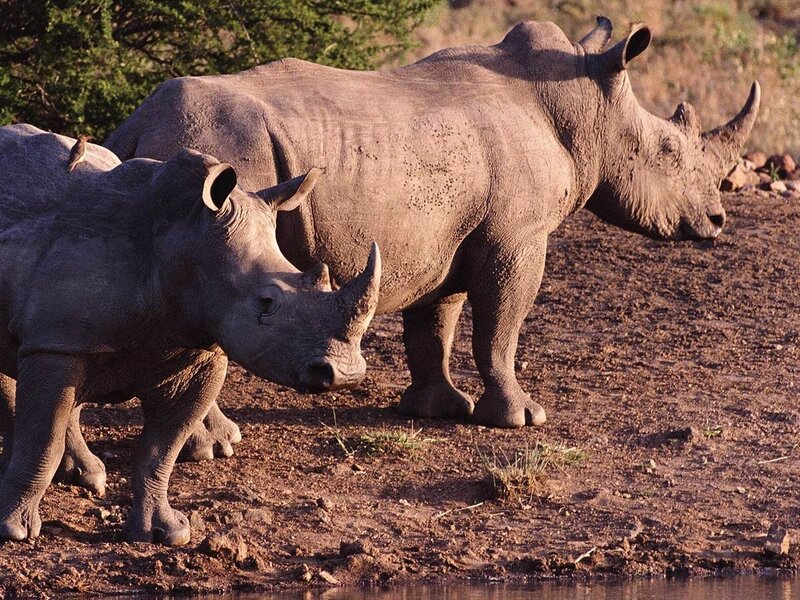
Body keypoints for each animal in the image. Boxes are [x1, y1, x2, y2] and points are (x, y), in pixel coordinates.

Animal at [0, 124, 380, 544]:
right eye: (266, 303)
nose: (346, 375)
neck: (183, 242)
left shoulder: (200, 350)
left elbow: (161, 450)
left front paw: (165, 533)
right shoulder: (57, 342)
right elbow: (42, 441)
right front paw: (13, 531)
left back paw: (84, 477)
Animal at [105, 16, 759, 432]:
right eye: (668, 153)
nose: (718, 219)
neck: (582, 107)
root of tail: (138, 124)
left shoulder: (440, 235)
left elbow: (435, 323)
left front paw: (436, 410)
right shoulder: (516, 237)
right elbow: (501, 324)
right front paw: (521, 418)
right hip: (221, 152)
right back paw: (215, 444)